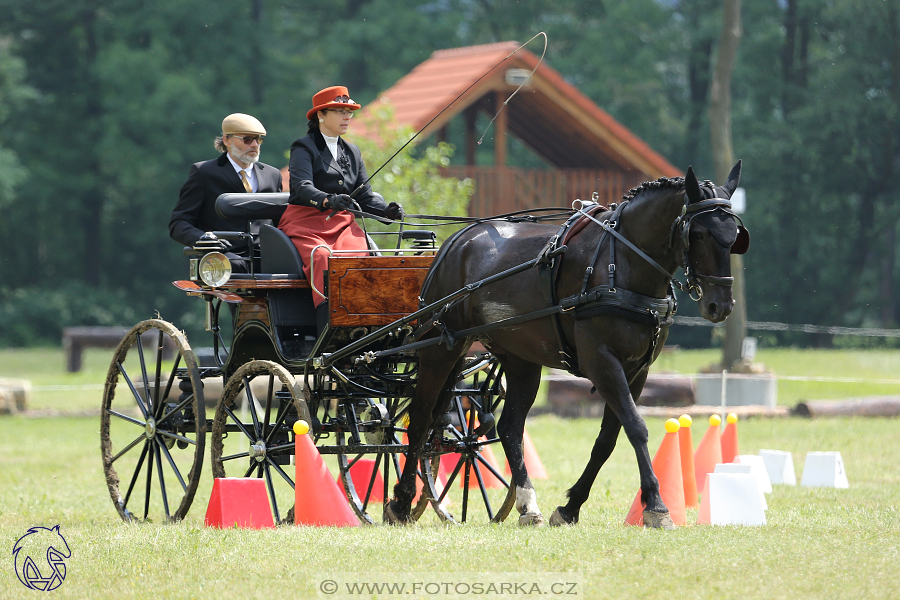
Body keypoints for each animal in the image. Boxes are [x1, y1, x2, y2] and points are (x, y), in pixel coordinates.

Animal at [386, 162, 744, 528]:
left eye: (735, 236)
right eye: (698, 234)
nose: (720, 306)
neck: (621, 264)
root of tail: (456, 242)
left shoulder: (637, 370)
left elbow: (607, 439)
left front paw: (571, 506)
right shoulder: (601, 361)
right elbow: (636, 427)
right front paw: (656, 505)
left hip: (519, 359)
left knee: (509, 426)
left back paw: (528, 505)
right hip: (440, 349)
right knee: (420, 419)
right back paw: (401, 501)